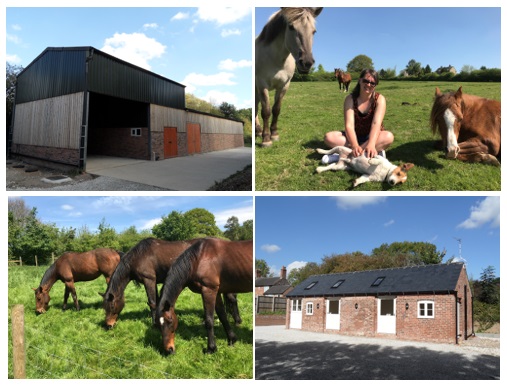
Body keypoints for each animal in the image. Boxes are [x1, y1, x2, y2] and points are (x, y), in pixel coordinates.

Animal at [100, 238, 243, 328]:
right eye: (104, 308)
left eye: (111, 306)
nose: (108, 326)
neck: (139, 256)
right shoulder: (154, 282)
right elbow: (157, 301)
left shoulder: (149, 280)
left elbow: (152, 302)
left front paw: (154, 324)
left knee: (232, 298)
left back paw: (237, 321)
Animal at [256, 7, 324, 147]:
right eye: (291, 27)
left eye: (314, 31)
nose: (306, 63)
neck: (276, 59)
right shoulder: (262, 84)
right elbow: (266, 111)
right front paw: (266, 139)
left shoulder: (284, 85)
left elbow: (276, 109)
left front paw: (274, 134)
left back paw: (258, 131)